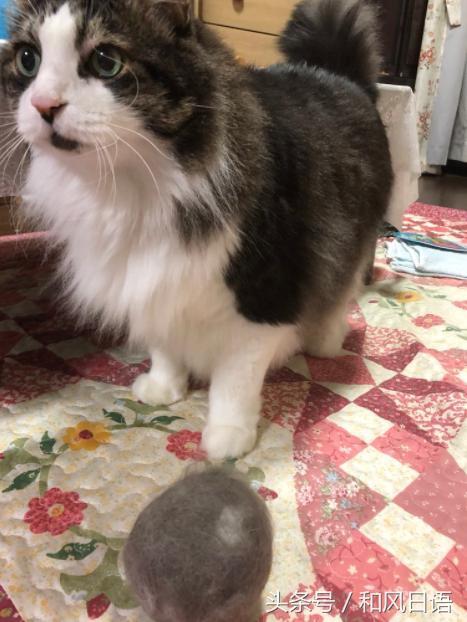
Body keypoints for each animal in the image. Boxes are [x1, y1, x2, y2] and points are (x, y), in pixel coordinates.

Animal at [1, 0, 393, 460]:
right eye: (28, 60)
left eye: (106, 62)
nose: (43, 104)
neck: (128, 192)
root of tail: (334, 72)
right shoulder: (155, 283)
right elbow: (165, 345)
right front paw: (165, 388)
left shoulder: (262, 296)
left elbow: (235, 382)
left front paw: (227, 439)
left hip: (352, 243)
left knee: (339, 294)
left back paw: (323, 340)